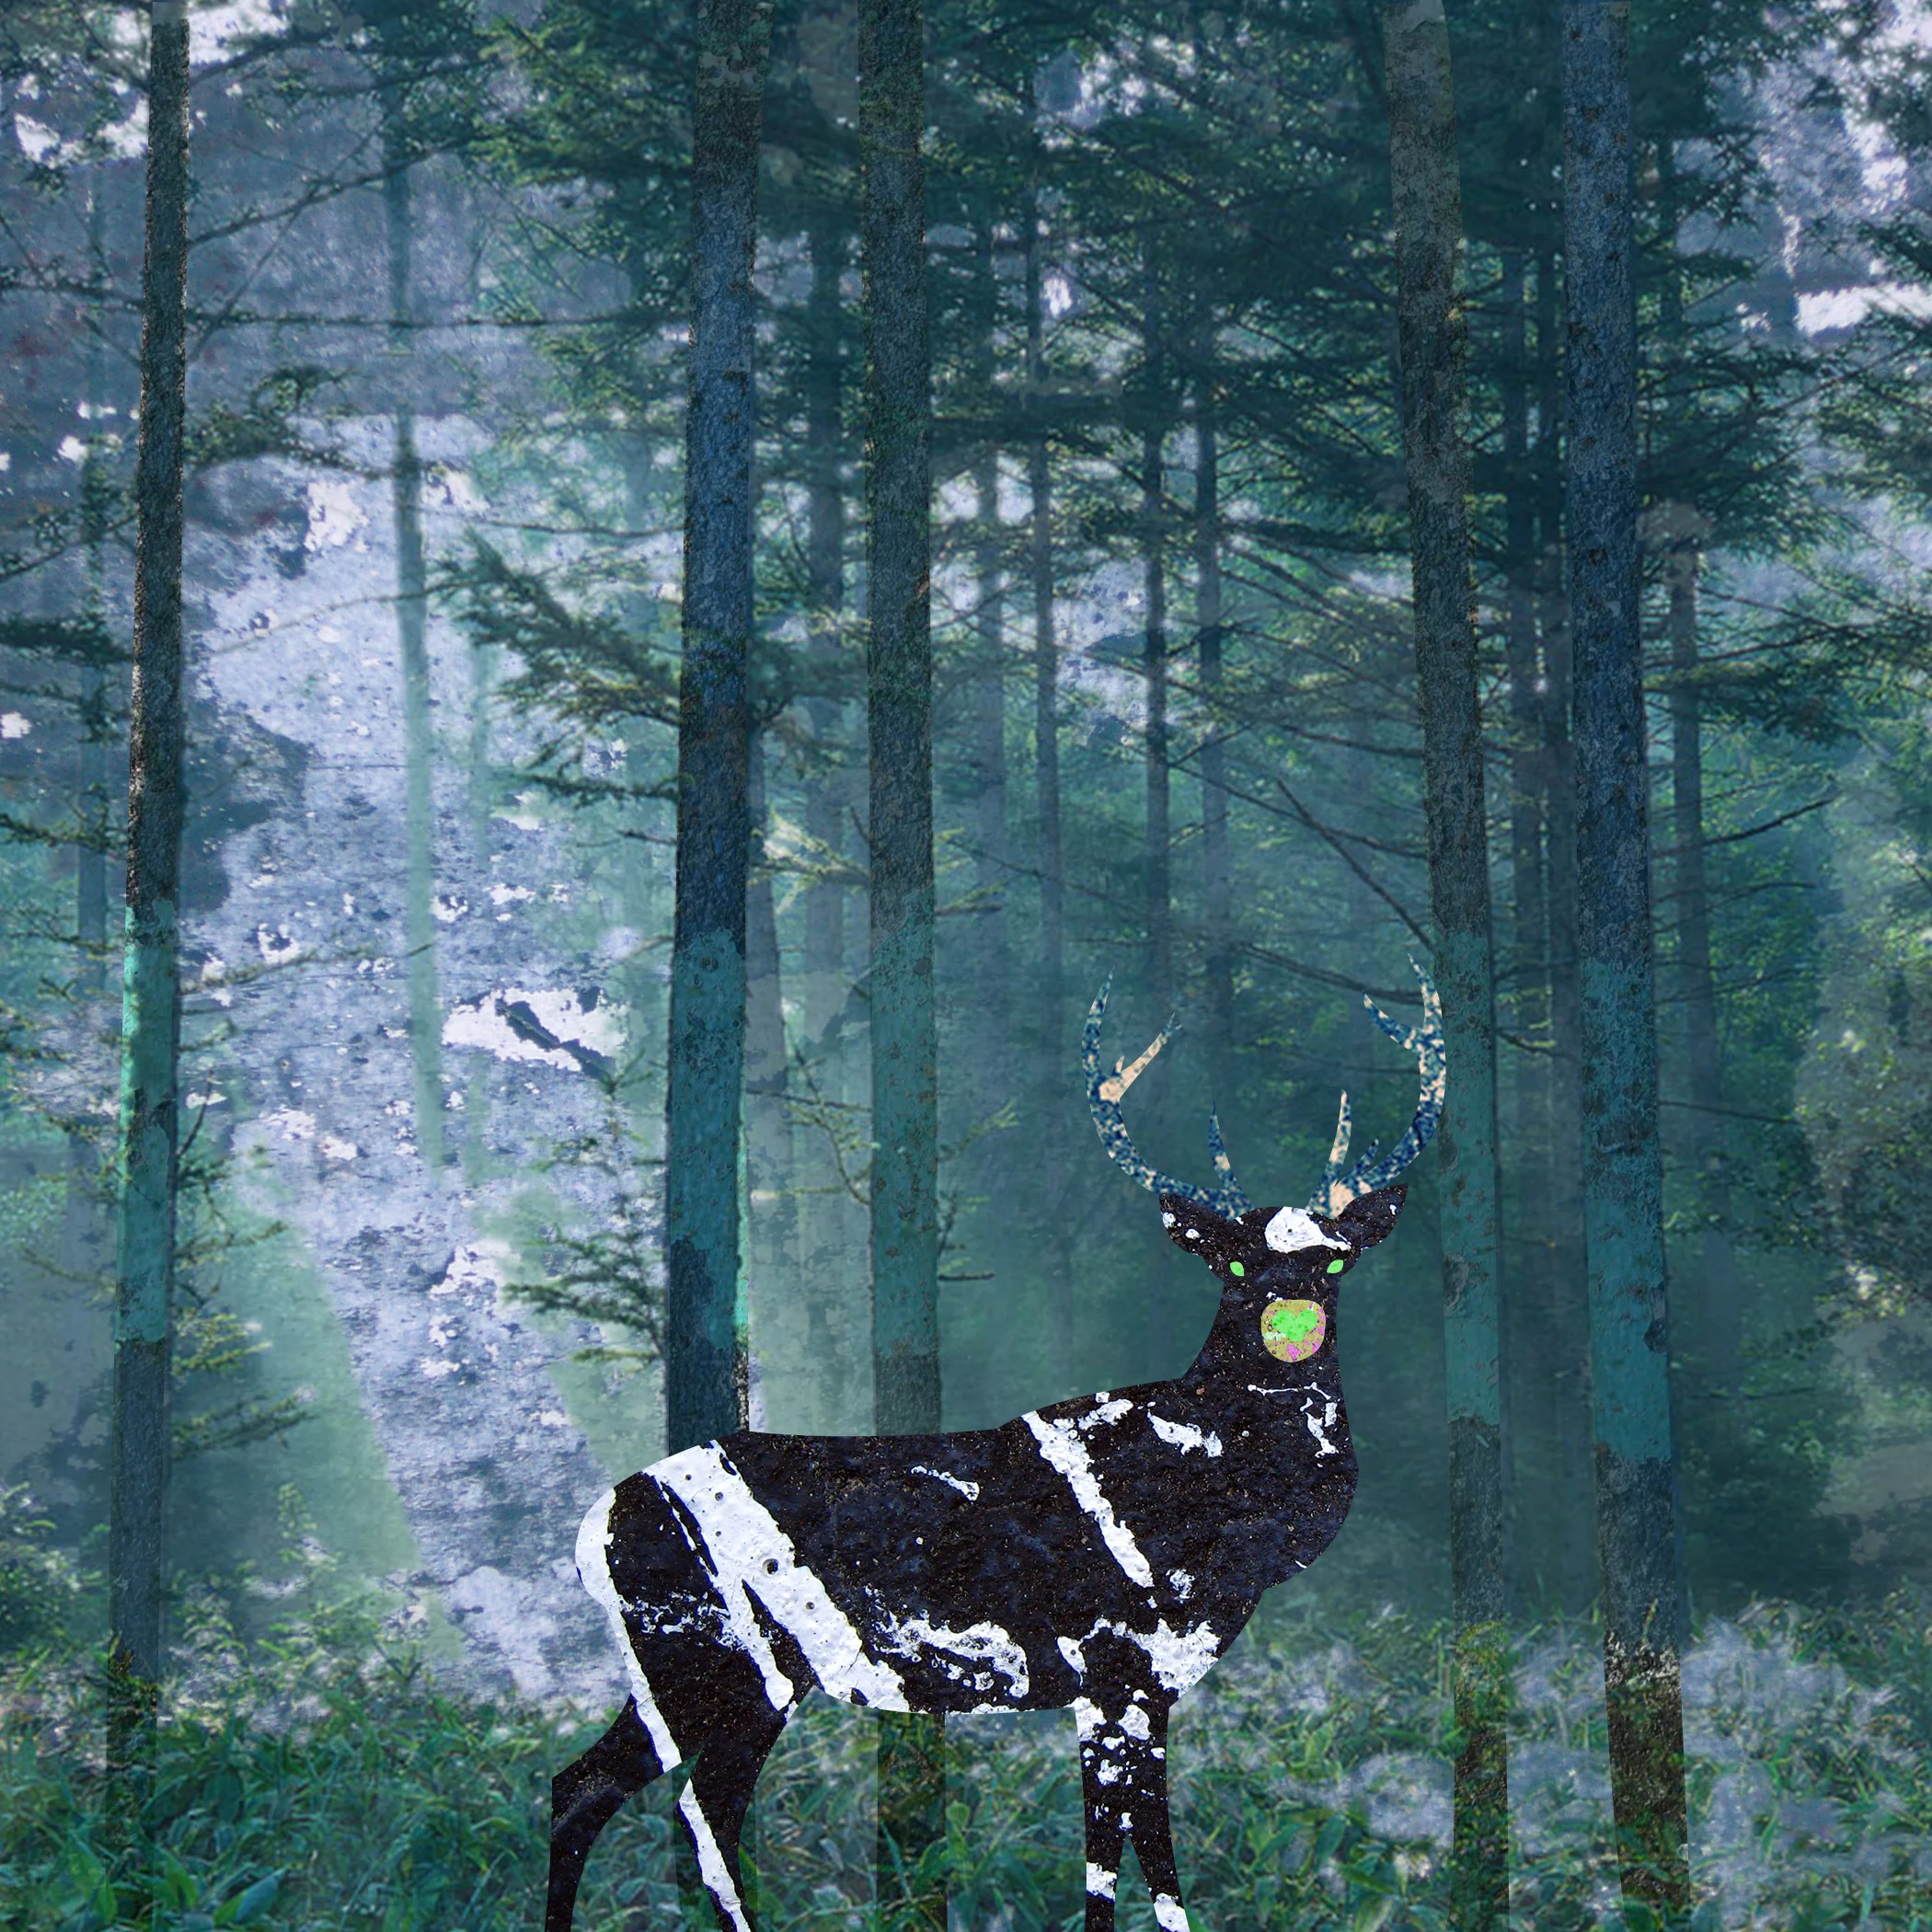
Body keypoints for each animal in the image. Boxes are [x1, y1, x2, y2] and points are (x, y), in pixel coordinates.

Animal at [547, 971, 1445, 1932]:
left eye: (1338, 1263)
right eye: (1234, 1268)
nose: (1291, 1323)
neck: (1213, 1514)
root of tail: (589, 1532)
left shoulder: (1134, 1688)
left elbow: (1132, 1861)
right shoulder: (1116, 1667)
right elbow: (1125, 1864)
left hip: (716, 1676)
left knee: (630, 1794)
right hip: (709, 1655)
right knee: (648, 1801)